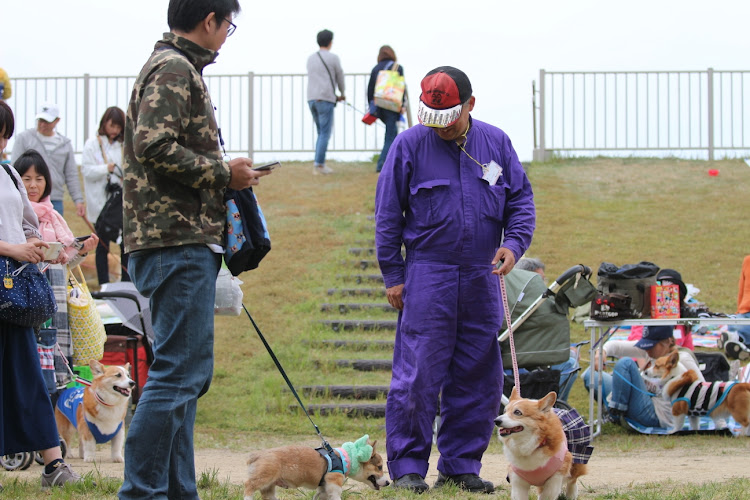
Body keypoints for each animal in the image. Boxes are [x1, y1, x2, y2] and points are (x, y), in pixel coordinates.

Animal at [244, 434, 390, 500]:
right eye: (379, 467)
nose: (388, 482)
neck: (346, 459)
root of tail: (257, 455)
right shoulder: (334, 482)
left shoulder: (323, 488)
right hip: (264, 478)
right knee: (249, 486)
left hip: (269, 487)